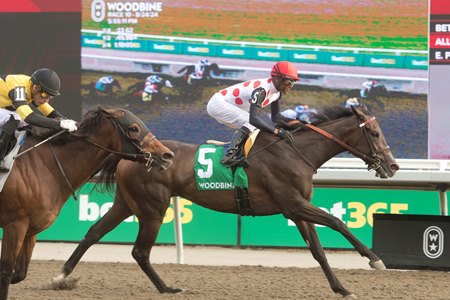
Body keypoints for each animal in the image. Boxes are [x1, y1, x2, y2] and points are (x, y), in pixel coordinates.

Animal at [0, 106, 174, 298]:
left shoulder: (31, 229)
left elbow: (20, 273)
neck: (44, 166)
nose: (167, 155)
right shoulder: (15, 224)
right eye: (134, 128)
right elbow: (5, 273)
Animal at [55, 105, 398, 298]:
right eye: (375, 134)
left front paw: (341, 288)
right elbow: (337, 222)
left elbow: (318, 252)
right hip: (153, 208)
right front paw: (375, 259)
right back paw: (167, 288)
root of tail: (133, 156)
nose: (392, 166)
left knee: (93, 233)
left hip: (126, 204)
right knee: (139, 251)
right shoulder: (293, 204)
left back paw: (61, 276)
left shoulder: (298, 209)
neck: (296, 152)